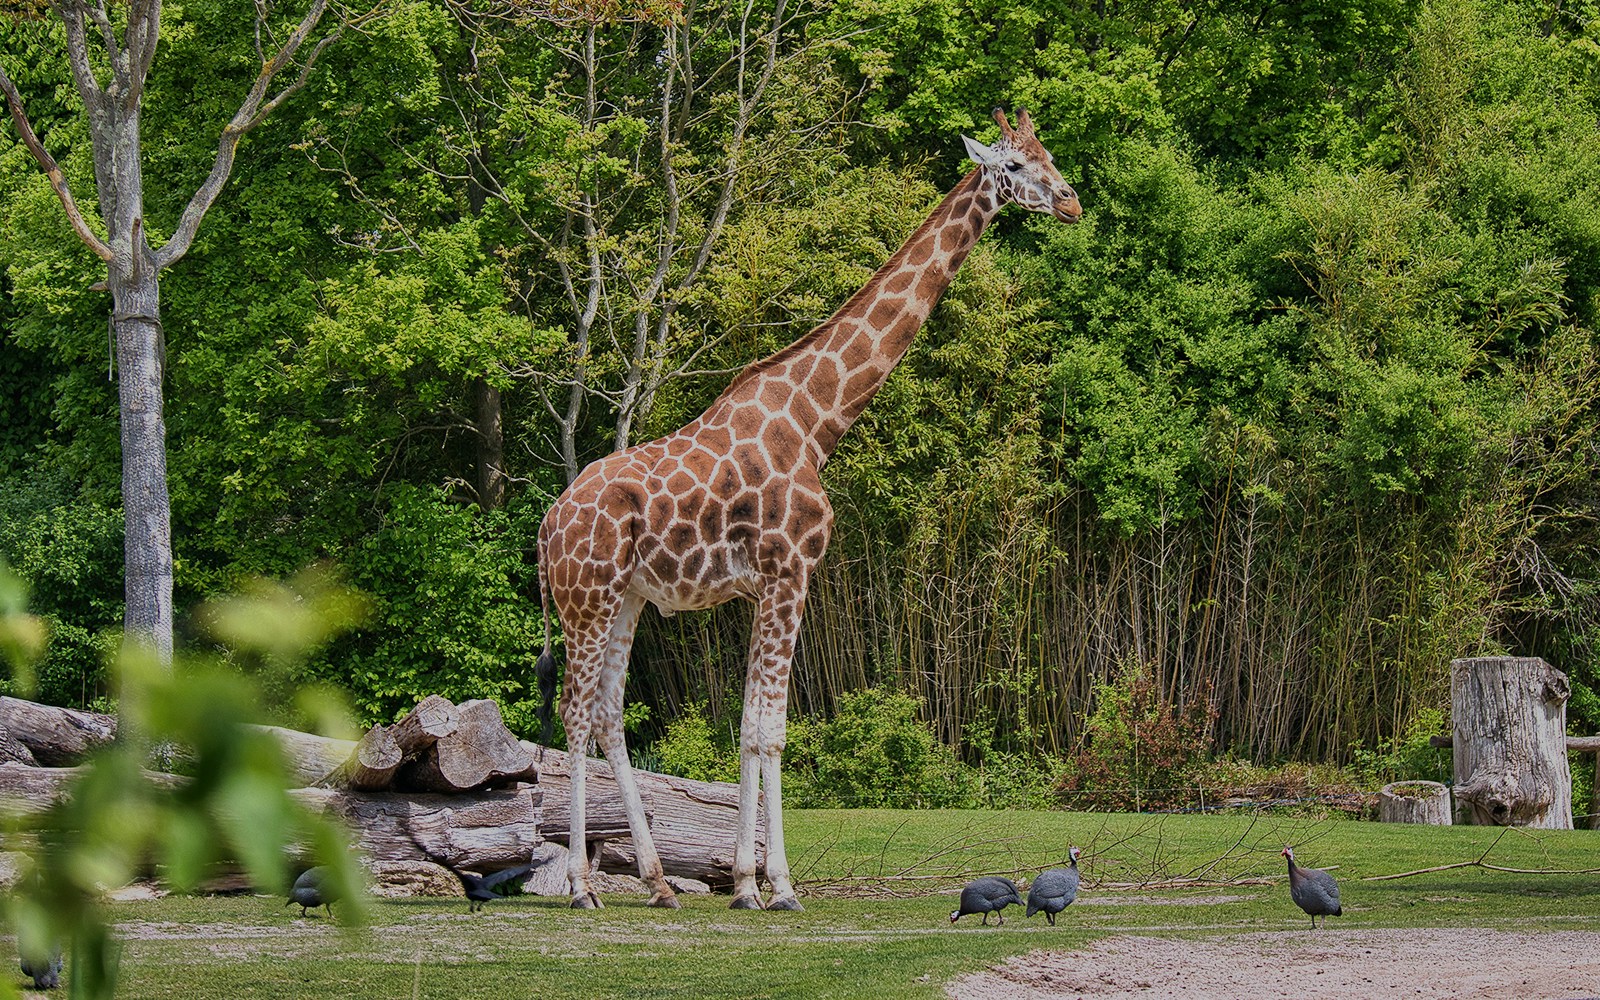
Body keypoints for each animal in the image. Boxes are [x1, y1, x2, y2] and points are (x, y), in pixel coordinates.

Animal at [535, 108, 1081, 911]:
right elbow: (770, 729)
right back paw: (580, 886)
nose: (1071, 201)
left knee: (606, 713)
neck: (820, 419)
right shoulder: (790, 573)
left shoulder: (767, 584)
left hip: (628, 597)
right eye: (1013, 165)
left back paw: (660, 883)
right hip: (588, 597)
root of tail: (547, 525)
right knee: (576, 714)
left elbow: (749, 725)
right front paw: (778, 886)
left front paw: (745, 883)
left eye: (1045, 155)